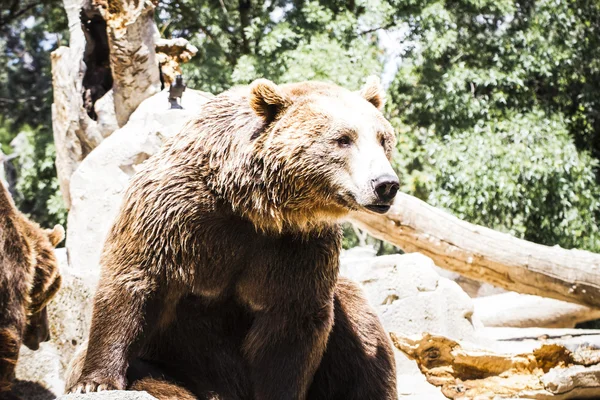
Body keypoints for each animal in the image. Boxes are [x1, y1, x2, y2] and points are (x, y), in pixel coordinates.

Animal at [67, 76, 398, 398]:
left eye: (383, 139)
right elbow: (134, 279)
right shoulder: (174, 215)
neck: (254, 207)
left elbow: (292, 324)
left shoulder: (298, 246)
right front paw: (95, 381)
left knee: (363, 337)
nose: (385, 184)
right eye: (343, 139)